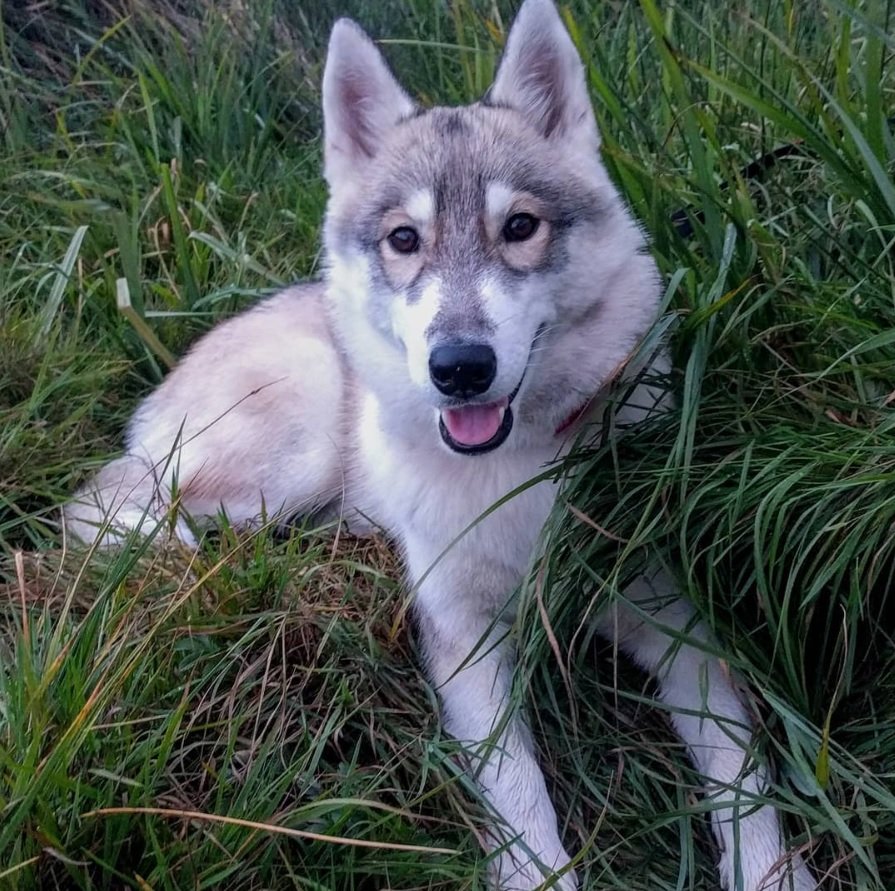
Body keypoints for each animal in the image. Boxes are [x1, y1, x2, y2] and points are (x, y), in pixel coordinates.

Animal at [63, 3, 820, 888]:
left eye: (519, 227)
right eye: (403, 238)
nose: (459, 368)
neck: (513, 474)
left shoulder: (677, 626)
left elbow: (739, 772)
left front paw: (769, 870)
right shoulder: (465, 641)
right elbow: (520, 798)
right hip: (292, 443)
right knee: (116, 492)